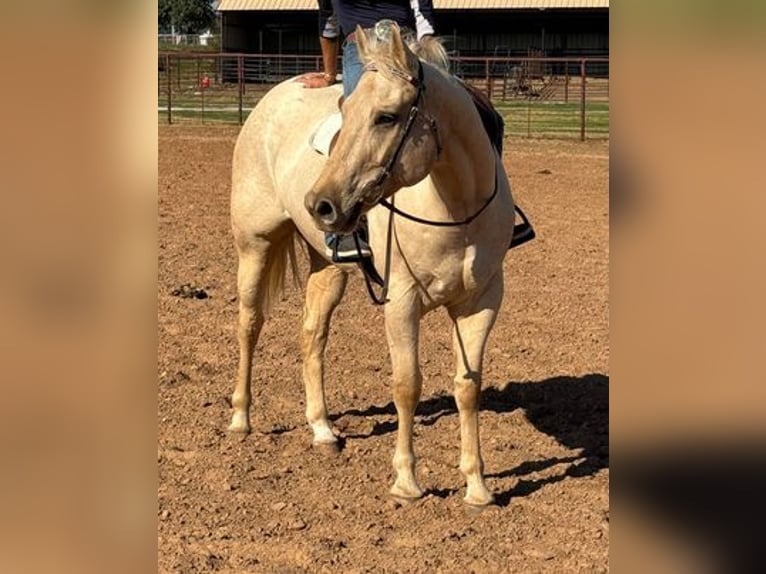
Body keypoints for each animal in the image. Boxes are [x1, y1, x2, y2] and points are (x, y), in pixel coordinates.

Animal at [228, 24, 516, 506]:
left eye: (386, 116)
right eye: (346, 110)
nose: (320, 204)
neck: (456, 209)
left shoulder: (482, 301)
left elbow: (467, 386)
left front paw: (477, 486)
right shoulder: (401, 300)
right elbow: (407, 384)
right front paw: (406, 481)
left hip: (328, 267)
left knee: (313, 335)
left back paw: (323, 429)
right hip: (255, 244)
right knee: (250, 324)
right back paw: (240, 418)